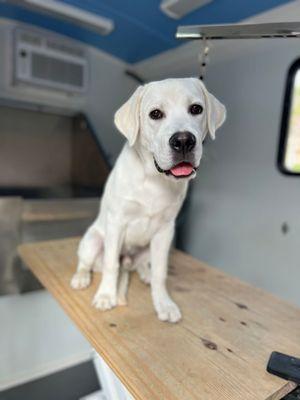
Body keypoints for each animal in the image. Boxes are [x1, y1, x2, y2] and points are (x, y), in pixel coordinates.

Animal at [70, 77, 225, 322]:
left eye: (196, 109)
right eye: (155, 114)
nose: (183, 141)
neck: (154, 178)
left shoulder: (165, 230)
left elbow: (161, 273)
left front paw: (163, 303)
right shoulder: (117, 222)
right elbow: (111, 265)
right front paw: (106, 296)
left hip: (147, 248)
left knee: (142, 265)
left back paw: (145, 274)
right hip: (93, 241)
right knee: (90, 263)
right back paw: (82, 277)